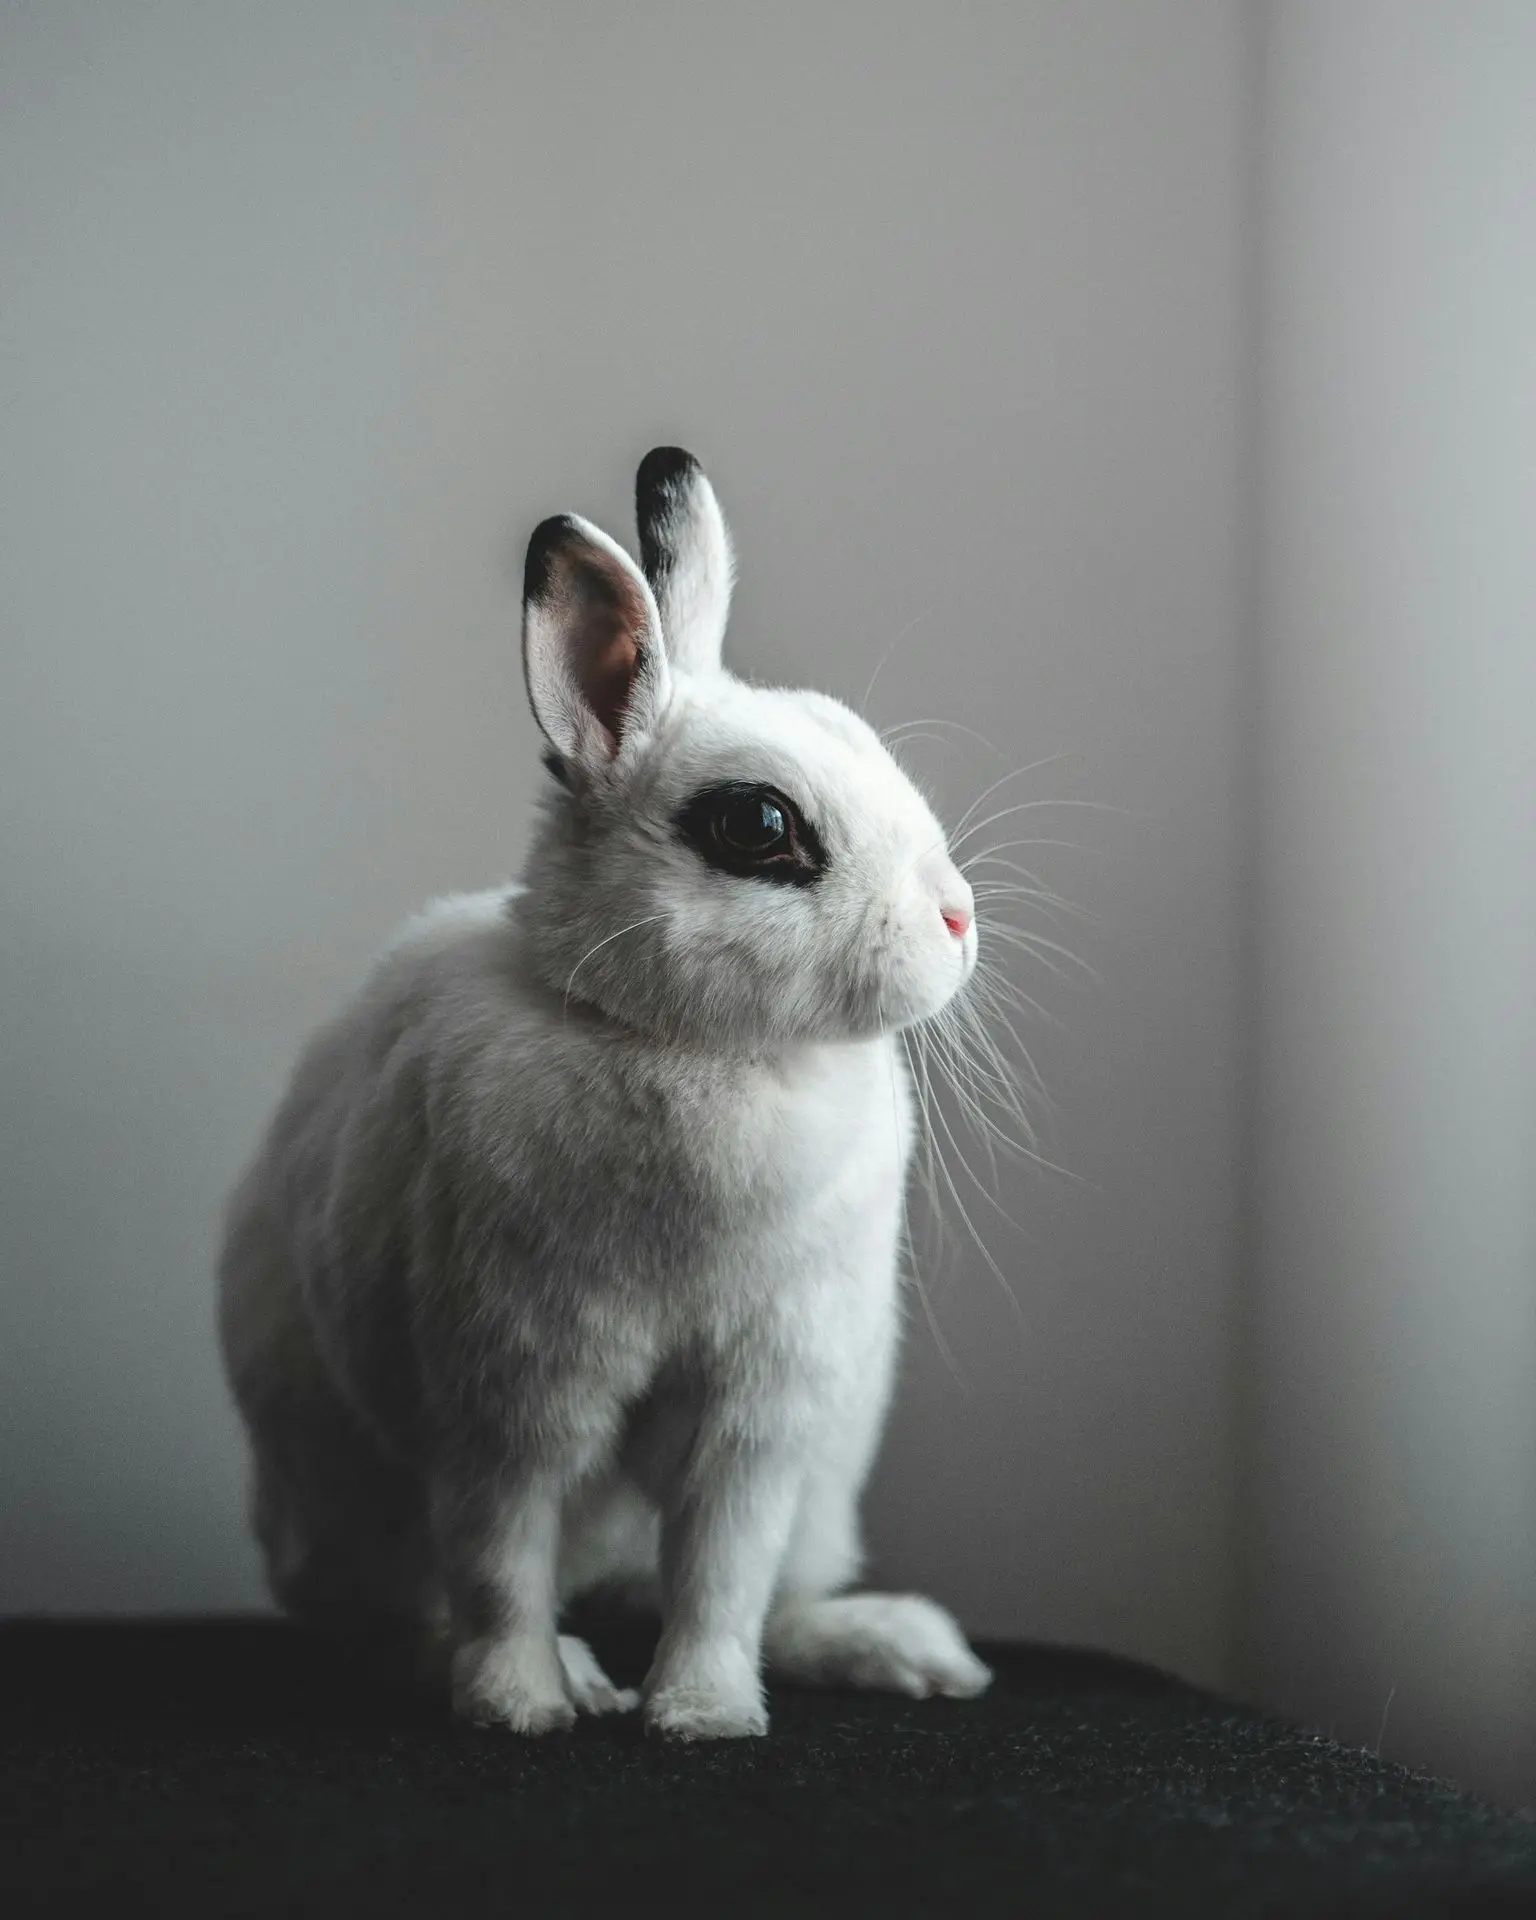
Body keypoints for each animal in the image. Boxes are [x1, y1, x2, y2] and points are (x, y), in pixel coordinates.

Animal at [218, 446, 993, 1740]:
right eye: (760, 823)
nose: (957, 919)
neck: (691, 1045)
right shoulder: (509, 1392)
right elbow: (501, 1560)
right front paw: (520, 1708)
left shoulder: (760, 1414)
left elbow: (722, 1572)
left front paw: (704, 1716)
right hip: (349, 1501)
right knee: (396, 1614)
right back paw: (562, 1673)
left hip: (826, 1487)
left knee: (774, 1590)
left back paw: (903, 1649)